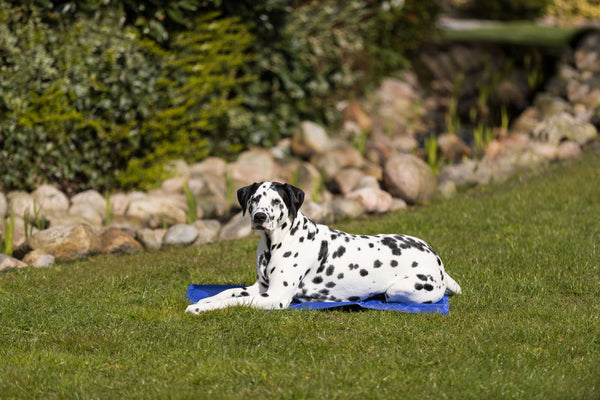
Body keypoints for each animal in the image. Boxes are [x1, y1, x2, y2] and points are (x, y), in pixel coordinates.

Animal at [185, 180, 462, 314]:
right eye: (254, 200)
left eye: (276, 201)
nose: (260, 217)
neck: (276, 243)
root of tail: (438, 260)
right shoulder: (259, 288)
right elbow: (227, 293)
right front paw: (204, 300)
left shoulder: (275, 297)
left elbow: (232, 302)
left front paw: (200, 307)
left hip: (400, 290)